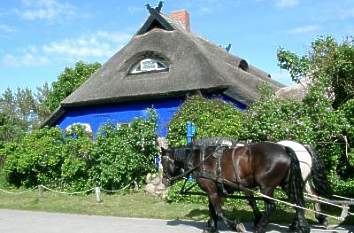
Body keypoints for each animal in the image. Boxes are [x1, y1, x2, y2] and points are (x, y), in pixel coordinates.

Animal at [162, 141, 312, 233]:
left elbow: (218, 212)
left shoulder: (211, 191)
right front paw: (212, 227)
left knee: (271, 206)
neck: (201, 160)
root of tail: (284, 149)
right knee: (298, 202)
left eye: (164, 162)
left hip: (266, 187)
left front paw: (235, 226)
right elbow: (212, 211)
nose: (164, 181)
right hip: (286, 184)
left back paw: (260, 228)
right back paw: (302, 227)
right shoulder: (214, 191)